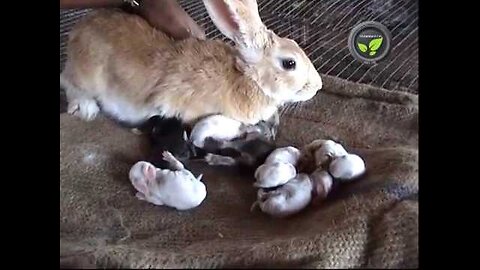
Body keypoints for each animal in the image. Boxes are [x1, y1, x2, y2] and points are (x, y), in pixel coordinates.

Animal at [60, 0, 322, 126]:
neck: (243, 77)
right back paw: (87, 109)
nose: (318, 86)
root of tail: (77, 32)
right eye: (289, 63)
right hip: (87, 75)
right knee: (68, 82)